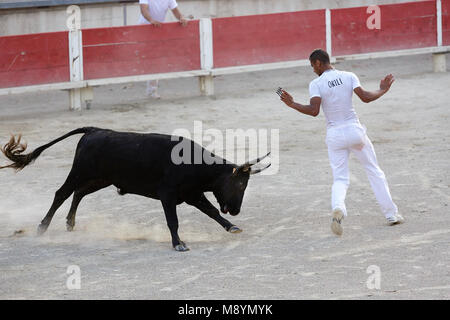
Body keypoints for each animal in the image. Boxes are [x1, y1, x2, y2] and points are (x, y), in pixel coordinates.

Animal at [0, 126, 268, 251]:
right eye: (240, 183)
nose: (236, 210)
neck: (195, 164)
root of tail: (94, 130)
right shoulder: (168, 195)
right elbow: (173, 221)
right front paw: (178, 243)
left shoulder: (193, 194)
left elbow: (212, 212)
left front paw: (232, 227)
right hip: (80, 172)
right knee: (62, 193)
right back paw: (42, 227)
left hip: (101, 179)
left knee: (78, 193)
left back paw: (70, 223)